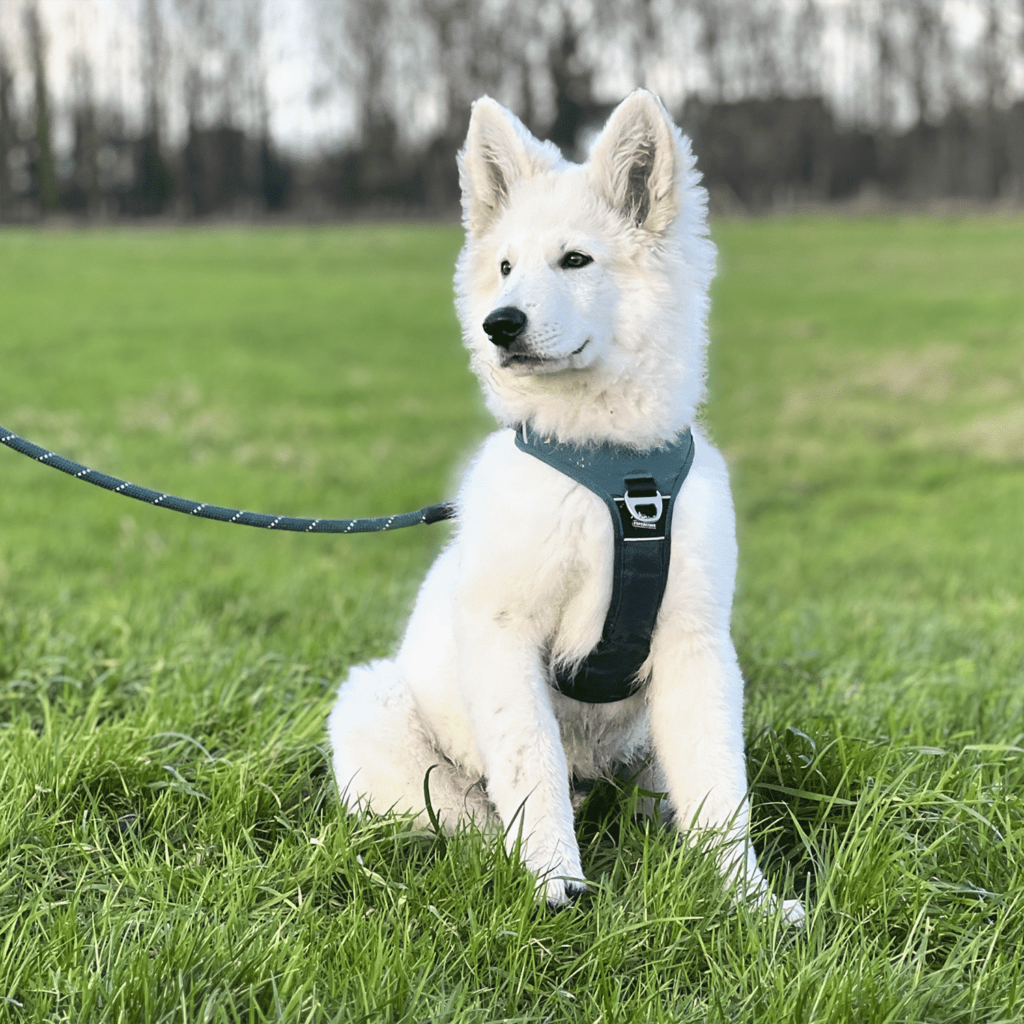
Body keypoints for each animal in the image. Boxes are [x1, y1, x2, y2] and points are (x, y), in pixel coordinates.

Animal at [327, 92, 798, 925]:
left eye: (575, 260)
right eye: (506, 266)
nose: (500, 325)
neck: (612, 467)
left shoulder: (695, 644)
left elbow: (720, 786)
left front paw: (749, 904)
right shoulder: (506, 638)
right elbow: (530, 766)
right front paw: (554, 885)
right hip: (375, 715)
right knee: (472, 819)